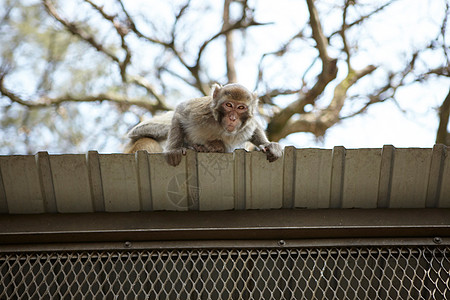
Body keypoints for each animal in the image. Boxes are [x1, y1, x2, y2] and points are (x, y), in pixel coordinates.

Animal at [125, 83, 284, 165]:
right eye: (228, 105)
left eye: (241, 107)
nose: (232, 118)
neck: (219, 126)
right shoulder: (199, 112)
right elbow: (179, 114)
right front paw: (178, 148)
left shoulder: (245, 126)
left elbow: (254, 126)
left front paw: (268, 145)